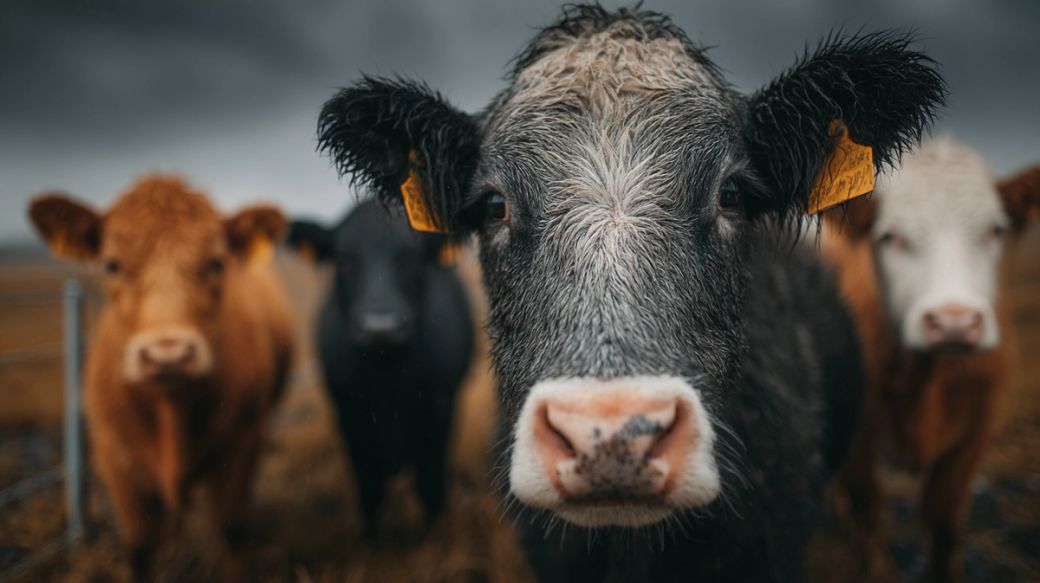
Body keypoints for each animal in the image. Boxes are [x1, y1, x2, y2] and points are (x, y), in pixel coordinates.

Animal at [27, 175, 294, 583]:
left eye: (216, 262)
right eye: (112, 265)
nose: (168, 354)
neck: (172, 413)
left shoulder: (241, 441)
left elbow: (232, 530)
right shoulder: (115, 458)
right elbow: (140, 548)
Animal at [286, 199, 474, 539]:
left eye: (411, 257)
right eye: (343, 258)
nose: (380, 329)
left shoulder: (440, 407)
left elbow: (430, 484)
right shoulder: (349, 411)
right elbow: (369, 488)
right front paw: (370, 540)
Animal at [823, 138, 1040, 583]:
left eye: (995, 230)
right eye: (889, 236)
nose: (954, 323)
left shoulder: (979, 423)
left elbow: (944, 516)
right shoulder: (857, 430)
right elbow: (868, 507)